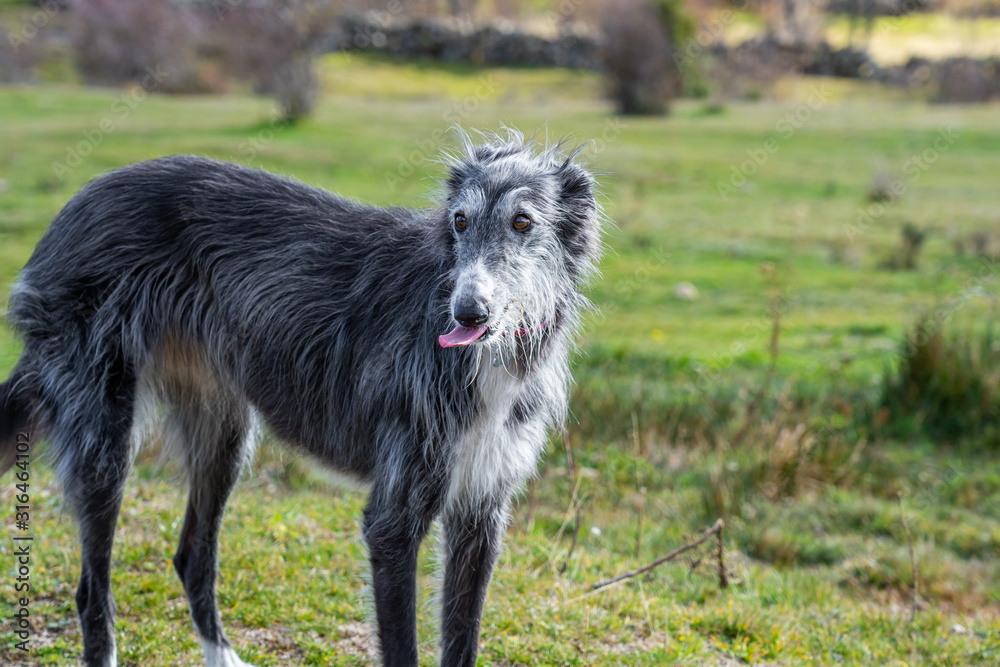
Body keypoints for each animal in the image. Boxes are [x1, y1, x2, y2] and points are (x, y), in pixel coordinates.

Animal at [0, 130, 600, 667]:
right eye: (459, 221)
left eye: (523, 222)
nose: (467, 312)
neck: (489, 359)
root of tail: (74, 206)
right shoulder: (393, 519)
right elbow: (402, 646)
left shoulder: (480, 514)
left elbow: (463, 642)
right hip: (104, 434)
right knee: (91, 591)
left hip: (223, 434)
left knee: (192, 557)